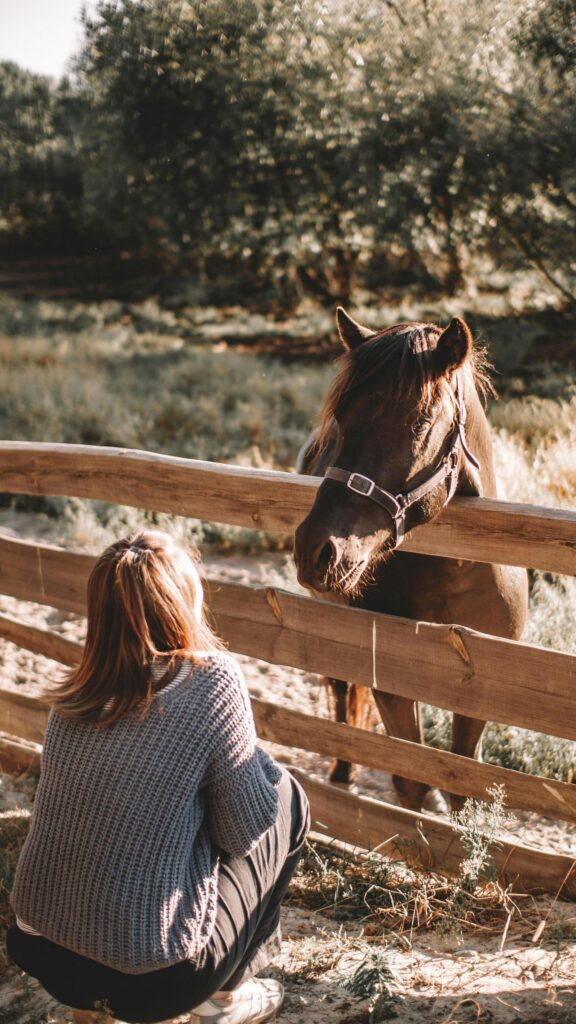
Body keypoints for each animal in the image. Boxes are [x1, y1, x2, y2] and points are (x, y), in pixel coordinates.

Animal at [293, 308, 528, 811]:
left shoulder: (482, 687)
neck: (456, 572)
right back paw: (343, 769)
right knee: (340, 690)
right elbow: (411, 781)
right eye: (340, 418)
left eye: (420, 422)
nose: (315, 549)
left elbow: (460, 786)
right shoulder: (395, 686)